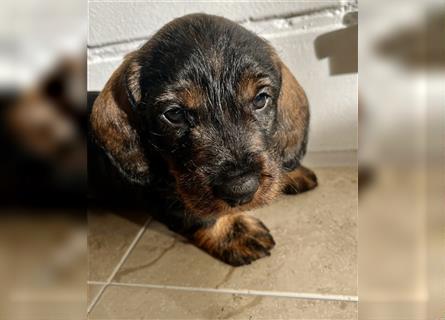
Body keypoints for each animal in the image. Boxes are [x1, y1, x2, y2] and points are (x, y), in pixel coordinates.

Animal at [90, 13, 318, 266]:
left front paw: (291, 171)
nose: (241, 189)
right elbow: (197, 214)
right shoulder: (161, 196)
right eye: (174, 114)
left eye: (260, 99)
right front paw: (234, 231)